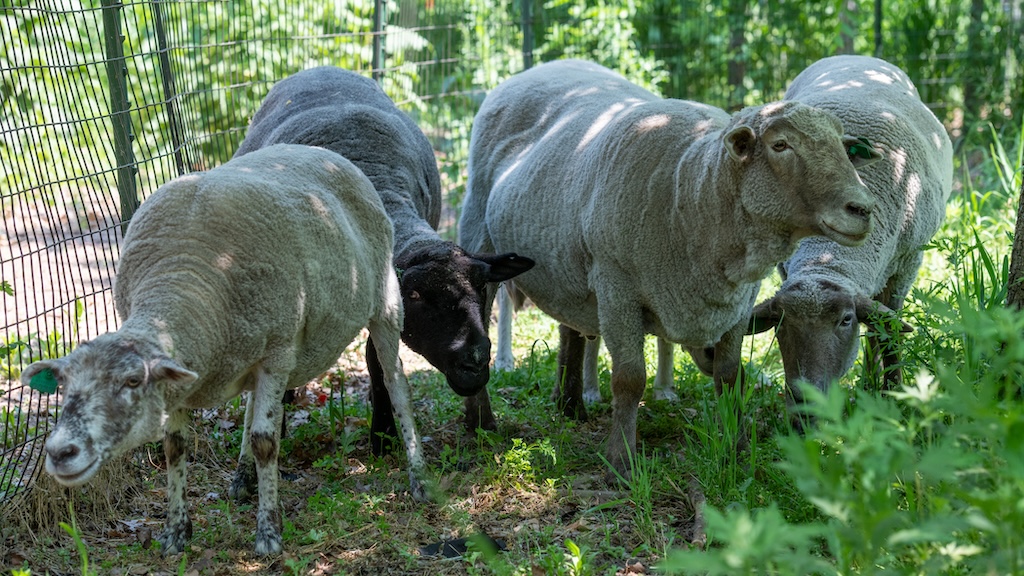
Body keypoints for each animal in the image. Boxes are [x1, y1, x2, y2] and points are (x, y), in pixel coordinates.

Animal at [20, 144, 428, 557]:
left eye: (133, 381)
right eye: (63, 385)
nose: (59, 452)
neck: (185, 278)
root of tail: (324, 152)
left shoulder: (276, 352)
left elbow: (266, 442)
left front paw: (268, 534)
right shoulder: (186, 373)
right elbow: (175, 447)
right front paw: (175, 533)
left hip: (385, 301)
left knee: (396, 385)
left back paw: (418, 477)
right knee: (251, 407)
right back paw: (242, 479)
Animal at [234, 68, 536, 448]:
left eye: (483, 288)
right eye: (417, 294)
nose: (476, 363)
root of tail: (320, 69)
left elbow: (378, 359)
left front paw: (384, 434)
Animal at [460, 58, 876, 475]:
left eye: (844, 147)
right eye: (780, 145)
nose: (863, 208)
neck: (691, 190)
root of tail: (548, 65)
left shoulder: (738, 304)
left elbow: (730, 376)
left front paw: (737, 449)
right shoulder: (617, 289)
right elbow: (629, 379)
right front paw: (622, 461)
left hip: (567, 267)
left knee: (571, 330)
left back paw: (570, 405)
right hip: (480, 235)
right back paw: (481, 423)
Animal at [745, 56, 950, 401]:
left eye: (845, 320)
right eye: (780, 323)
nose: (806, 399)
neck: (828, 256)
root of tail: (856, 57)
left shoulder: (906, 265)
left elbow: (889, 329)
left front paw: (894, 393)